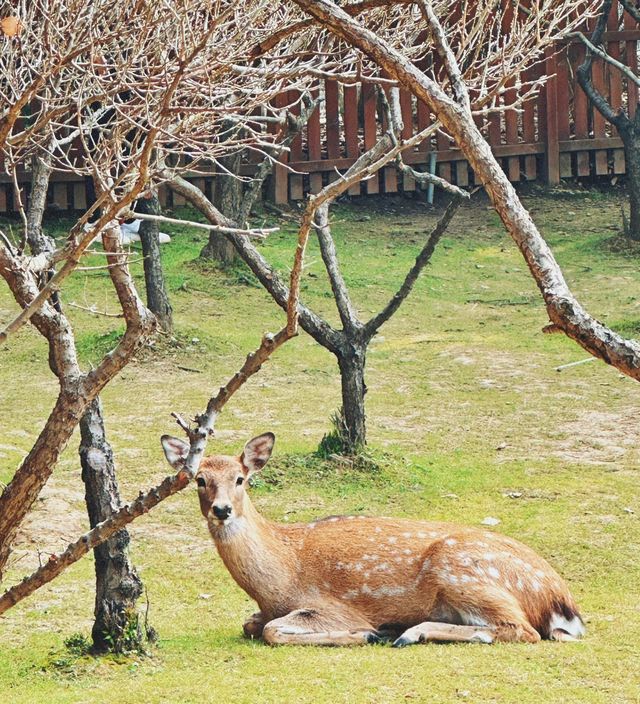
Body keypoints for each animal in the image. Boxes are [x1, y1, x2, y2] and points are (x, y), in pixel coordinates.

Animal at [161, 432, 584, 648]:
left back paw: (407, 633)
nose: (222, 510)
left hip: (462, 571)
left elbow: (271, 631)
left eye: (240, 479)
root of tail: (561, 601)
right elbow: (251, 624)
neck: (279, 580)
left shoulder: (330, 606)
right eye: (200, 480)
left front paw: (366, 632)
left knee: (522, 630)